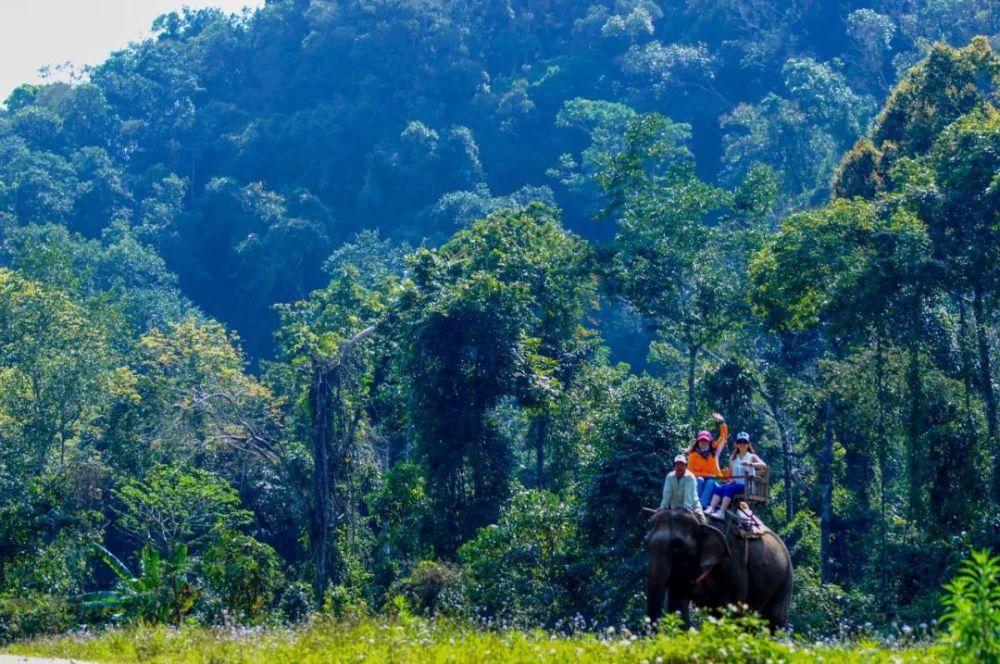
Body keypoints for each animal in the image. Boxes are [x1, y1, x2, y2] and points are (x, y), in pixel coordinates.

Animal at [644, 510, 792, 632]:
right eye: (647, 544)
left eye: (677, 546)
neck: (702, 521)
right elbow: (678, 605)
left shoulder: (733, 558)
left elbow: (734, 608)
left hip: (785, 577)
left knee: (774, 620)